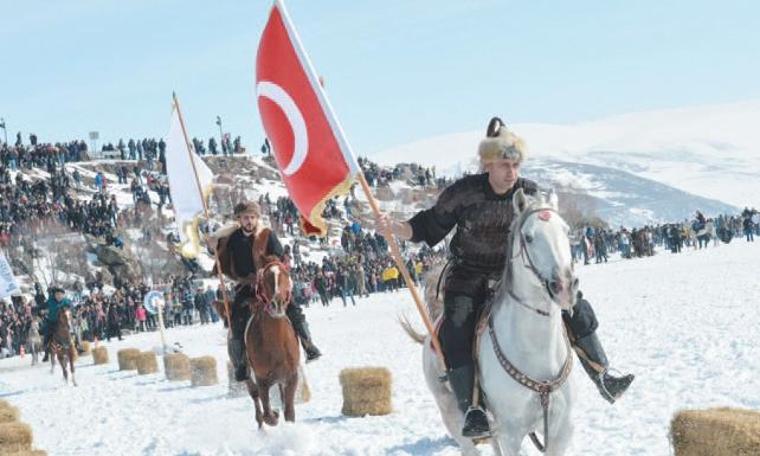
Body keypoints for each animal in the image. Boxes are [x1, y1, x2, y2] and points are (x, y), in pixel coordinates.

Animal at [245, 258, 302, 430]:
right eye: (264, 278)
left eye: (286, 274)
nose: (277, 303)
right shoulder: (262, 380)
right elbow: (268, 415)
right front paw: (274, 415)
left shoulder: (292, 377)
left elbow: (289, 412)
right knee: (255, 397)